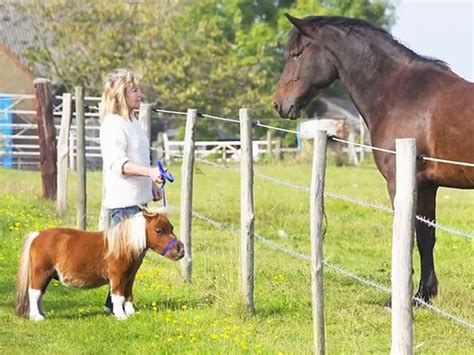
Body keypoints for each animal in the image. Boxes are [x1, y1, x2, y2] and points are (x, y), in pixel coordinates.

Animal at [15, 210, 184, 322]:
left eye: (172, 228)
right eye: (158, 230)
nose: (180, 249)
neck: (123, 245)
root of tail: (37, 235)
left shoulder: (130, 277)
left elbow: (128, 295)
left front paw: (131, 313)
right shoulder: (118, 276)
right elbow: (118, 296)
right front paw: (121, 315)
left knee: (39, 294)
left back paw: (42, 314)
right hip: (41, 272)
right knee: (34, 293)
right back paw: (36, 316)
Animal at [274, 14, 474, 306]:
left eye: (296, 54)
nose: (279, 103)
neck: (402, 94)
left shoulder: (401, 183)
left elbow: (409, 236)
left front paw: (403, 299)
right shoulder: (428, 186)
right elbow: (426, 237)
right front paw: (423, 296)